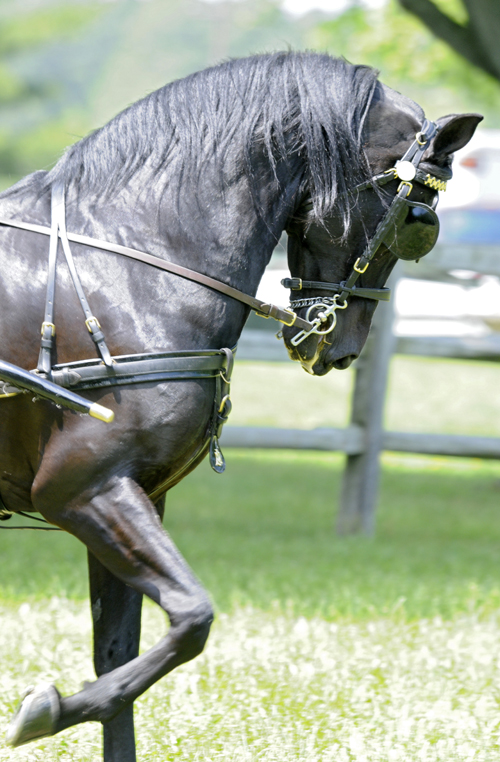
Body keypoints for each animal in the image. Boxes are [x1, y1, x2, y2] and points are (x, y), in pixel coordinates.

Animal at [0, 50, 480, 756]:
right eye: (419, 218)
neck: (130, 270)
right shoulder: (81, 487)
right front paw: (46, 711)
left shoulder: (136, 494)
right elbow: (192, 619)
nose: (338, 346)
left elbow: (120, 658)